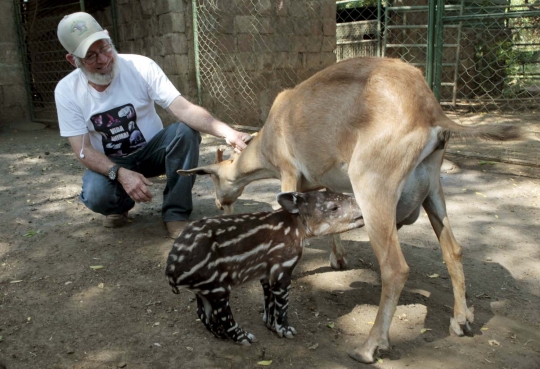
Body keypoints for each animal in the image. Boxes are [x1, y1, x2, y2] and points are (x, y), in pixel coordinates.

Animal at [178, 57, 524, 362]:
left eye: (216, 184)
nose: (222, 210)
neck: (270, 134)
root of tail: (431, 111)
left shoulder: (289, 171)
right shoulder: (318, 183)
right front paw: (339, 259)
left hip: (373, 184)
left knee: (395, 267)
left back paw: (369, 347)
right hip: (433, 188)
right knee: (453, 249)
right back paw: (461, 321)